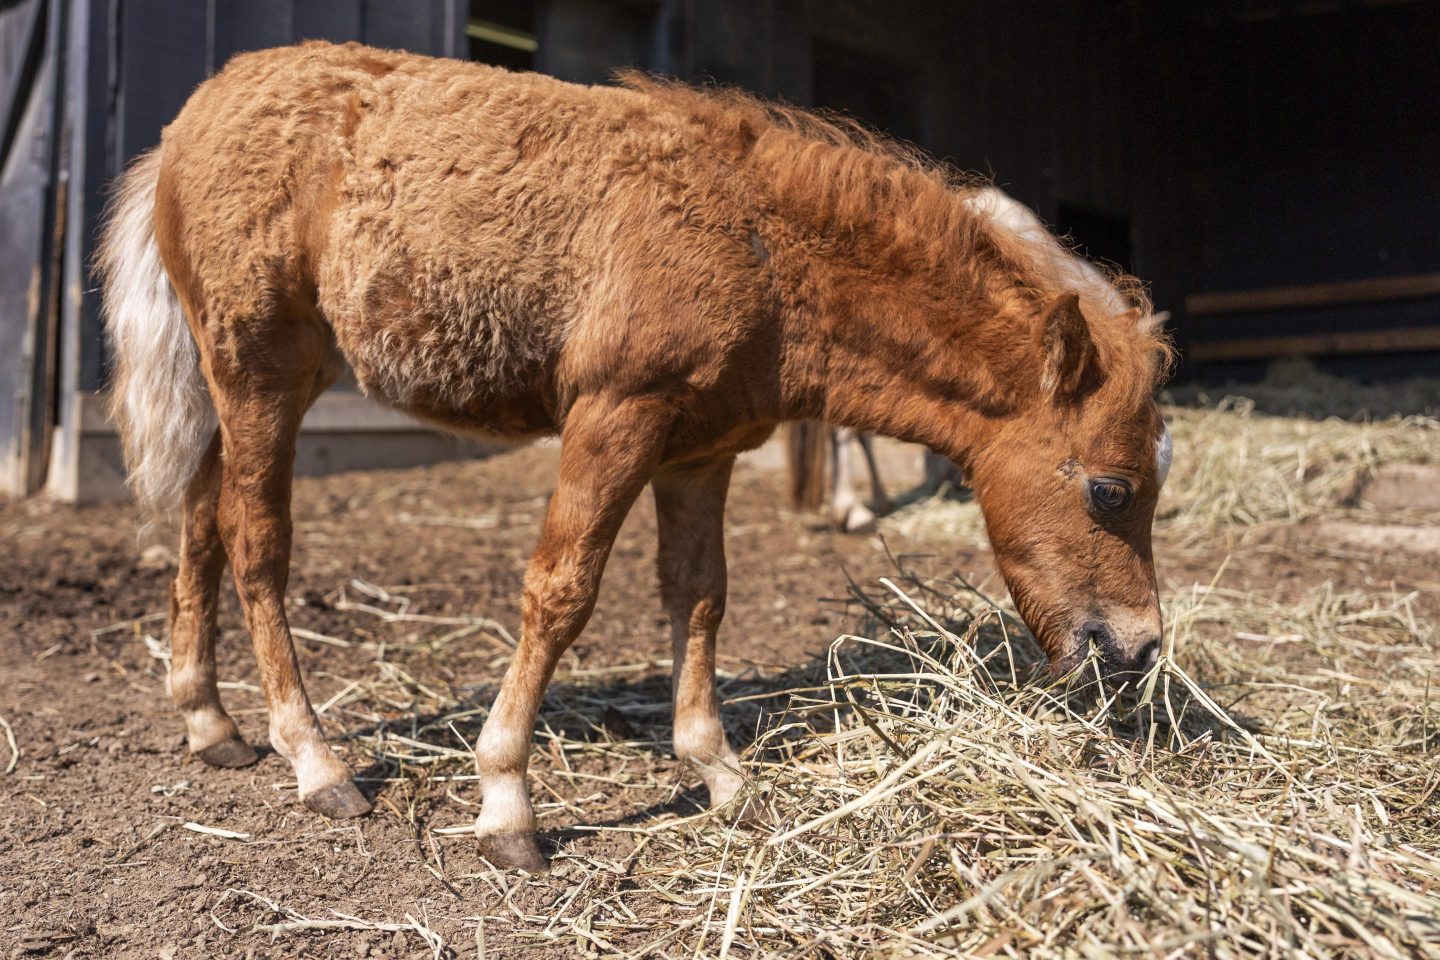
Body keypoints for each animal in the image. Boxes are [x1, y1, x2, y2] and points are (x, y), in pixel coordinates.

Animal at [104, 43, 1180, 869]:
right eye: (1111, 488)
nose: (1137, 649)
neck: (760, 246)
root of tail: (188, 119)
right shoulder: (615, 415)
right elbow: (561, 591)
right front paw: (506, 803)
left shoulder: (699, 452)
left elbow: (698, 596)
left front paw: (720, 774)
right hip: (261, 368)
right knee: (255, 542)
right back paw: (315, 761)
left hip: (244, 382)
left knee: (201, 521)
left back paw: (211, 724)